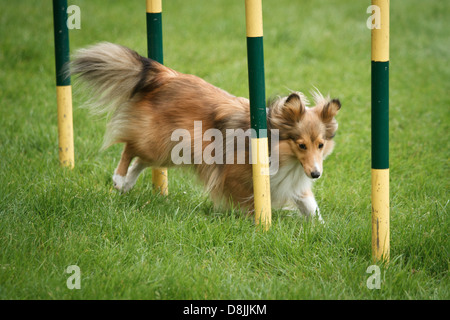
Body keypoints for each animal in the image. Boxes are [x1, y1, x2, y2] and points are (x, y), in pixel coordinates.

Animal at [71, 42, 342, 222]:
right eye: (301, 145)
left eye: (320, 145)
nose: (316, 174)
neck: (276, 148)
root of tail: (166, 75)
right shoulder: (237, 178)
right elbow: (251, 202)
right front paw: (259, 225)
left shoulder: (291, 182)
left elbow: (310, 206)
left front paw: (321, 229)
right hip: (158, 142)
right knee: (130, 148)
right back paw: (119, 179)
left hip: (173, 151)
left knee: (141, 160)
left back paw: (126, 184)